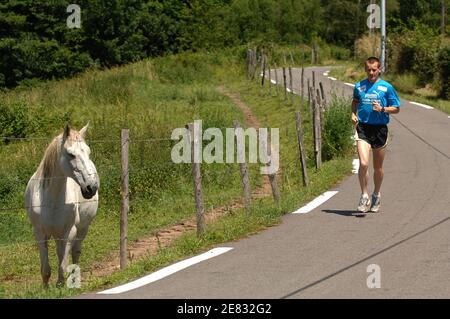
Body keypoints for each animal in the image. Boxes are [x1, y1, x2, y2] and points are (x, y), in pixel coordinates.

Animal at [25, 124, 99, 288]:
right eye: (70, 154)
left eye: (88, 151)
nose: (91, 187)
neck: (50, 200)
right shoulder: (39, 233)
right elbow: (45, 268)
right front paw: (46, 289)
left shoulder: (69, 232)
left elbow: (63, 265)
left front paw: (61, 285)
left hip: (82, 229)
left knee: (75, 253)